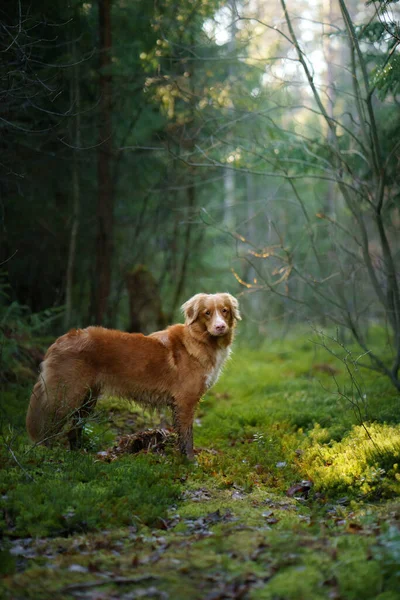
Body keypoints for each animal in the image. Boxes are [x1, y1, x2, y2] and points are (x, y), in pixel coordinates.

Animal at [28, 292, 242, 458]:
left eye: (225, 311)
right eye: (207, 313)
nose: (220, 327)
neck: (200, 340)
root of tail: (60, 341)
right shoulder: (185, 401)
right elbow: (187, 436)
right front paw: (189, 462)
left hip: (87, 398)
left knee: (74, 429)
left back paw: (78, 454)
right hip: (66, 396)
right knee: (49, 427)